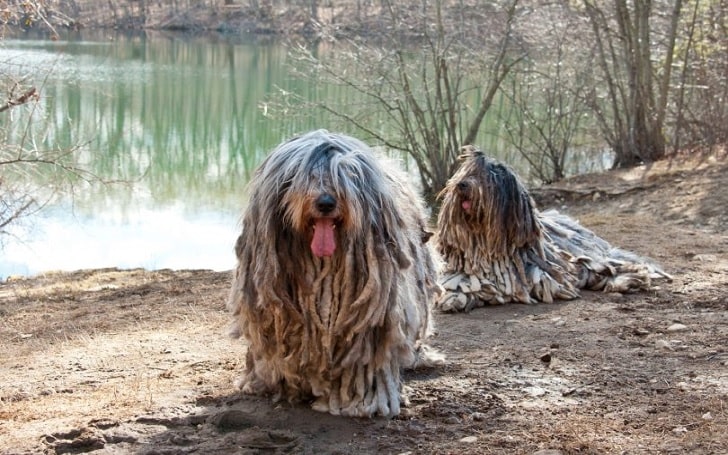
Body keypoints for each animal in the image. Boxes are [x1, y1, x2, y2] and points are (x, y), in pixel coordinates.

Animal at [432, 146, 672, 314]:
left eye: (487, 177)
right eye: (467, 172)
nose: (462, 185)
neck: (486, 245)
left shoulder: (545, 277)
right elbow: (460, 284)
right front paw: (454, 298)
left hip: (589, 259)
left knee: (610, 269)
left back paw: (627, 280)